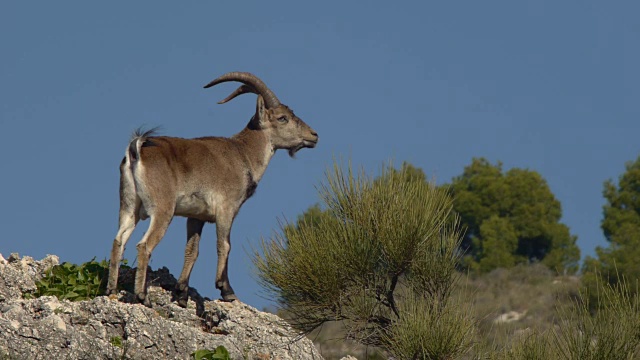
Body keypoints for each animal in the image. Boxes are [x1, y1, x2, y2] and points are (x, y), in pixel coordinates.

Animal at [106, 71, 318, 306]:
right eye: (282, 118)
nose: (313, 135)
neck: (243, 155)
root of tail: (136, 150)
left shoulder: (196, 216)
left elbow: (192, 250)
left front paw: (181, 293)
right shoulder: (226, 209)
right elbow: (224, 245)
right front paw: (226, 290)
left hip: (129, 207)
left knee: (118, 241)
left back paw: (111, 290)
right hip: (162, 210)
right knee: (144, 245)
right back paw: (142, 296)